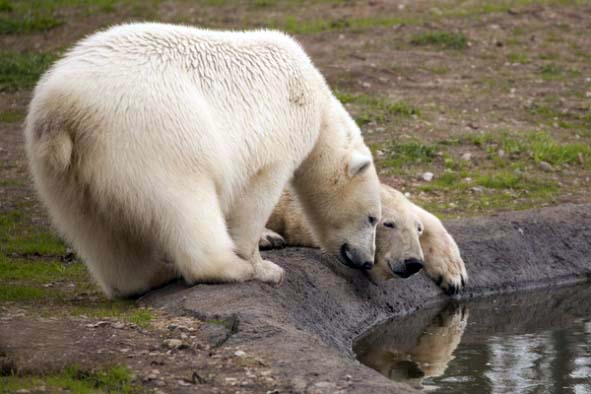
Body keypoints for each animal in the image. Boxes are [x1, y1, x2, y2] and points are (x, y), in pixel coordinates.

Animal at [25, 22, 382, 298]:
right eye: (372, 219)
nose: (367, 260)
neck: (318, 106)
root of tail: (63, 110)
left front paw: (268, 239)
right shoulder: (281, 132)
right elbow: (256, 193)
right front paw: (264, 266)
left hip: (62, 170)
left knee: (96, 231)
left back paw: (151, 275)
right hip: (152, 134)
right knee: (186, 202)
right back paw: (231, 267)